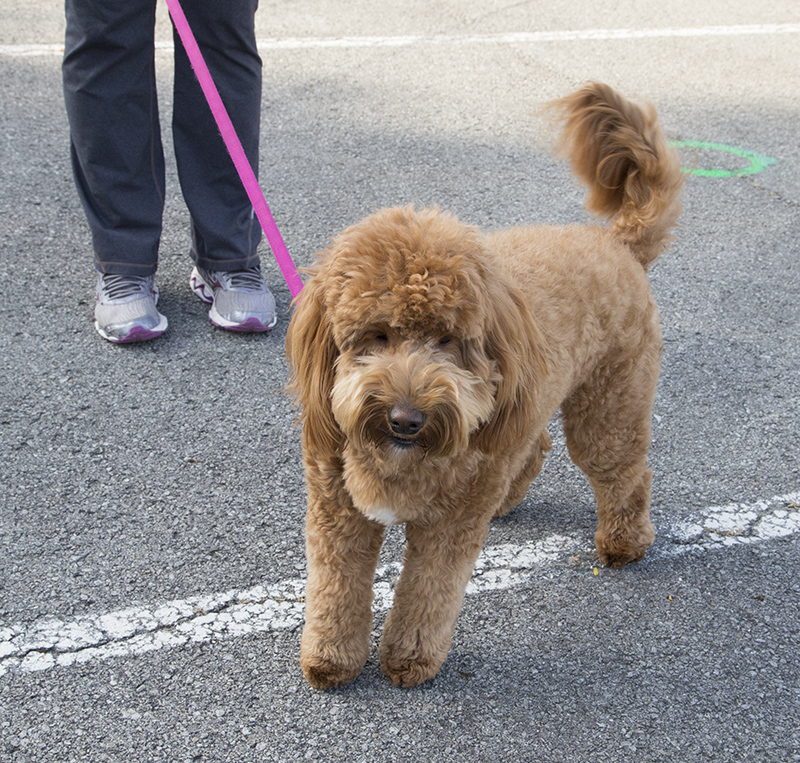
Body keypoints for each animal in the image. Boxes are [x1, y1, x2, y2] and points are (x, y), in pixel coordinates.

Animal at [286, 83, 680, 692]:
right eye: (375, 335)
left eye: (447, 340)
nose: (405, 418)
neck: (402, 458)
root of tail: (616, 243)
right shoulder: (338, 510)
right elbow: (334, 588)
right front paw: (331, 660)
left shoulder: (447, 527)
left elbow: (428, 594)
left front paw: (410, 660)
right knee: (536, 445)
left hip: (608, 404)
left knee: (625, 471)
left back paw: (624, 542)